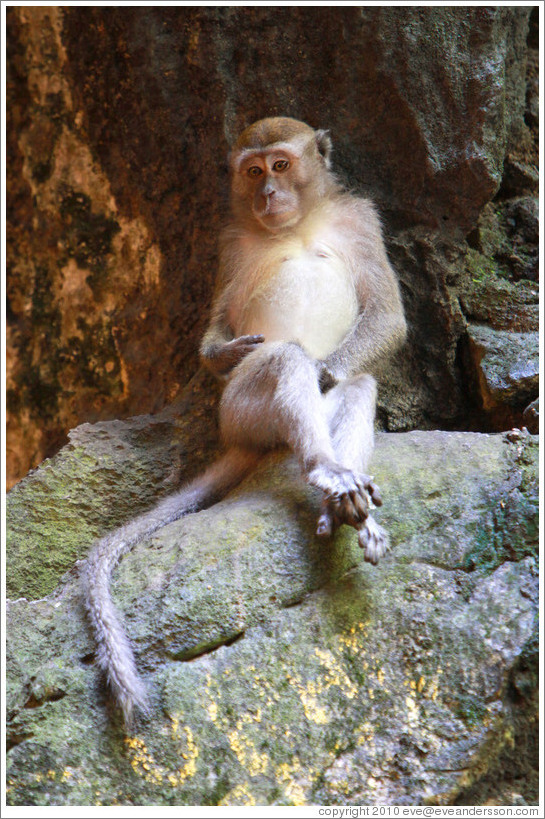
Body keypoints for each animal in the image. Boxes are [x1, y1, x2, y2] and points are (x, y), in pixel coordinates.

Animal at [81, 115, 404, 724]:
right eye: (252, 172)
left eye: (279, 165)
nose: (267, 194)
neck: (297, 226)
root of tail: (238, 441)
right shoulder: (229, 244)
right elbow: (218, 328)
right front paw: (226, 353)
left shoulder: (362, 218)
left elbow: (388, 316)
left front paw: (329, 373)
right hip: (240, 413)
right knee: (285, 361)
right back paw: (325, 467)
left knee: (355, 384)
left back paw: (345, 496)